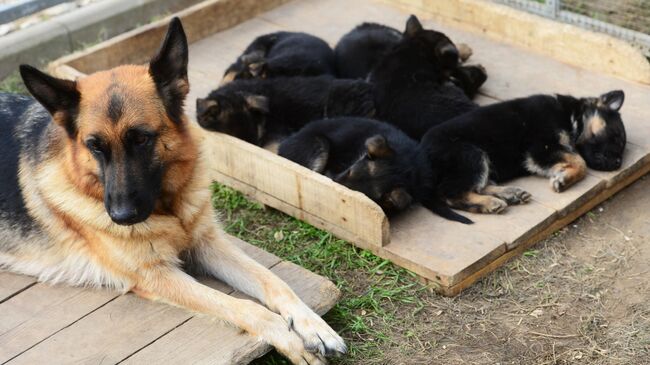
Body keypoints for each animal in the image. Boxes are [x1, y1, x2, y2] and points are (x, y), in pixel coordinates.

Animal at [0, 17, 344, 364]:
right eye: (95, 146)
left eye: (141, 139)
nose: (121, 217)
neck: (169, 208)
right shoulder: (156, 276)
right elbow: (245, 306)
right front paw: (290, 340)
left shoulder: (207, 244)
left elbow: (272, 281)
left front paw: (313, 325)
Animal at [276, 117, 468, 222]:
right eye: (349, 171)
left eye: (359, 195)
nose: (333, 180)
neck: (408, 165)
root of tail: (282, 146)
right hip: (319, 143)